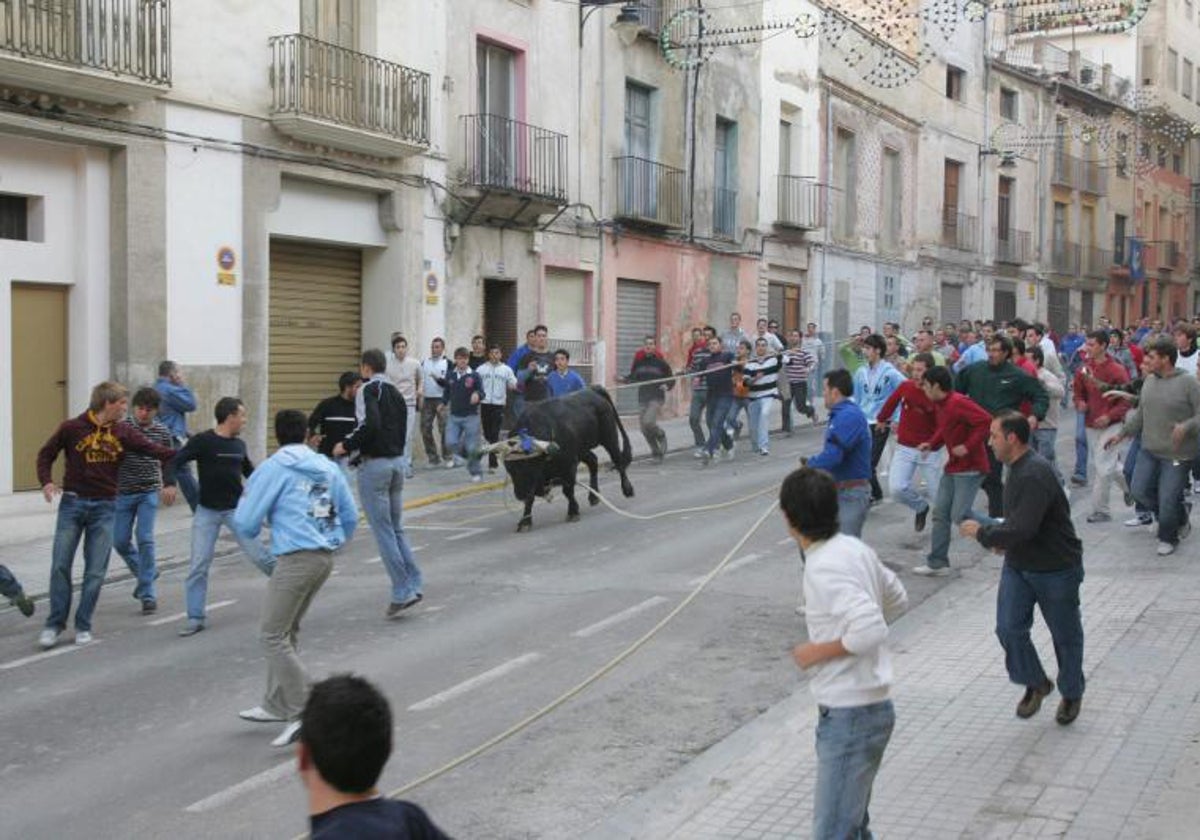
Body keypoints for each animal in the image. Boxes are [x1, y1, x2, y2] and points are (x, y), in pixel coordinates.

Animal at [504, 386, 638, 530]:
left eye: (527, 466)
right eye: (510, 470)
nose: (519, 494)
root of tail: (593, 390)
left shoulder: (569, 465)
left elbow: (567, 490)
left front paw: (573, 512)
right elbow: (531, 498)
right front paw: (524, 522)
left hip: (609, 438)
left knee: (618, 461)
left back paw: (627, 490)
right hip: (583, 450)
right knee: (593, 461)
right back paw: (593, 497)